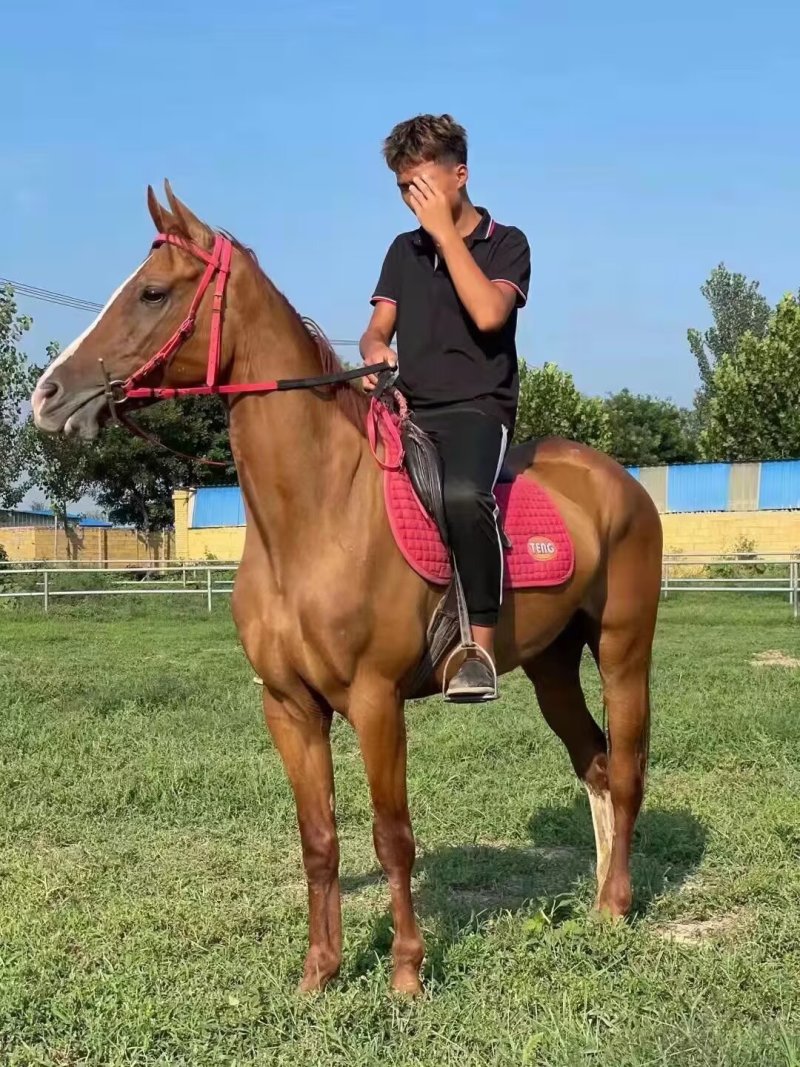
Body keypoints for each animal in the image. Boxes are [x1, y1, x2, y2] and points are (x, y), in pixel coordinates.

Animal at [32, 183, 662, 996]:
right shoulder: (290, 707)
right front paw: (320, 973)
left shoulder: (375, 701)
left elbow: (392, 835)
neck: (316, 516)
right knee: (595, 766)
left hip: (622, 651)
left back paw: (618, 902)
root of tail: (618, 482)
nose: (48, 395)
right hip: (552, 664)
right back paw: (597, 901)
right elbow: (319, 838)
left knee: (628, 769)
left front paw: (407, 973)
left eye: (152, 292)